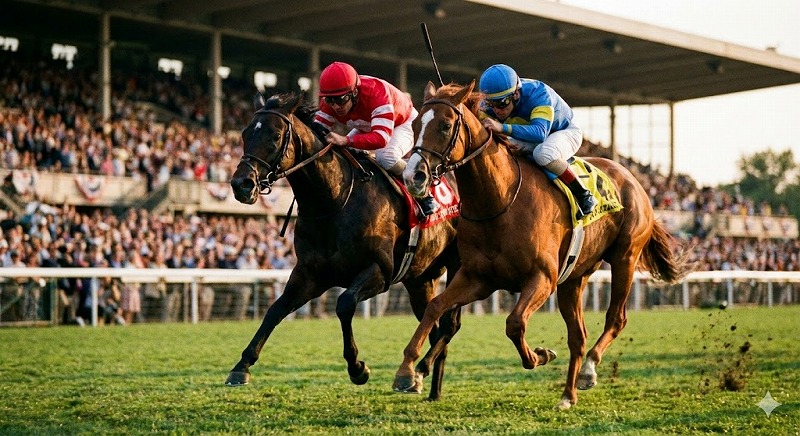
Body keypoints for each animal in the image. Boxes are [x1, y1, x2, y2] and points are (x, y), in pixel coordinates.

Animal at [227, 91, 462, 400]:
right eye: (244, 133)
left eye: (275, 135)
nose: (241, 184)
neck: (334, 201)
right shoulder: (310, 274)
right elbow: (276, 309)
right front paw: (241, 366)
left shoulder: (379, 271)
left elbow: (344, 304)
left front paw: (358, 367)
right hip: (420, 279)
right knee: (433, 325)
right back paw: (425, 385)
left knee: (450, 324)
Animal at [392, 81, 692, 410]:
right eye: (415, 125)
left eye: (445, 125)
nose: (414, 175)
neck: (499, 202)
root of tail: (632, 177)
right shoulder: (478, 278)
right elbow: (435, 307)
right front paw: (408, 370)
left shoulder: (542, 278)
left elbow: (514, 323)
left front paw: (541, 355)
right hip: (574, 278)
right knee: (578, 336)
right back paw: (568, 395)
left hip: (625, 258)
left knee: (616, 319)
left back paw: (589, 370)